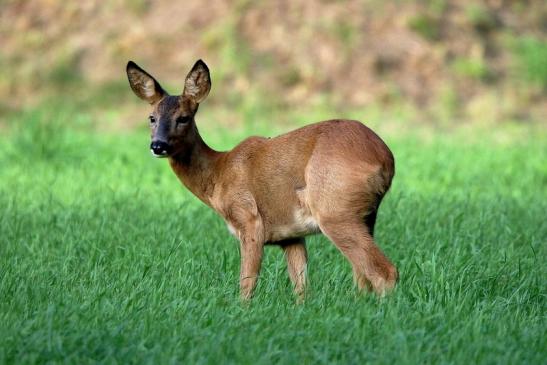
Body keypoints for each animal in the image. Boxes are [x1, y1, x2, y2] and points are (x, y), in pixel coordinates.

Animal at [125, 59, 398, 298]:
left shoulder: (250, 220)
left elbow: (246, 285)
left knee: (384, 272)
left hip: (335, 210)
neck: (219, 174)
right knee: (362, 276)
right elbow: (301, 288)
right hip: (365, 216)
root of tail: (386, 158)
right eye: (151, 118)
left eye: (183, 118)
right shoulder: (291, 236)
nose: (158, 145)